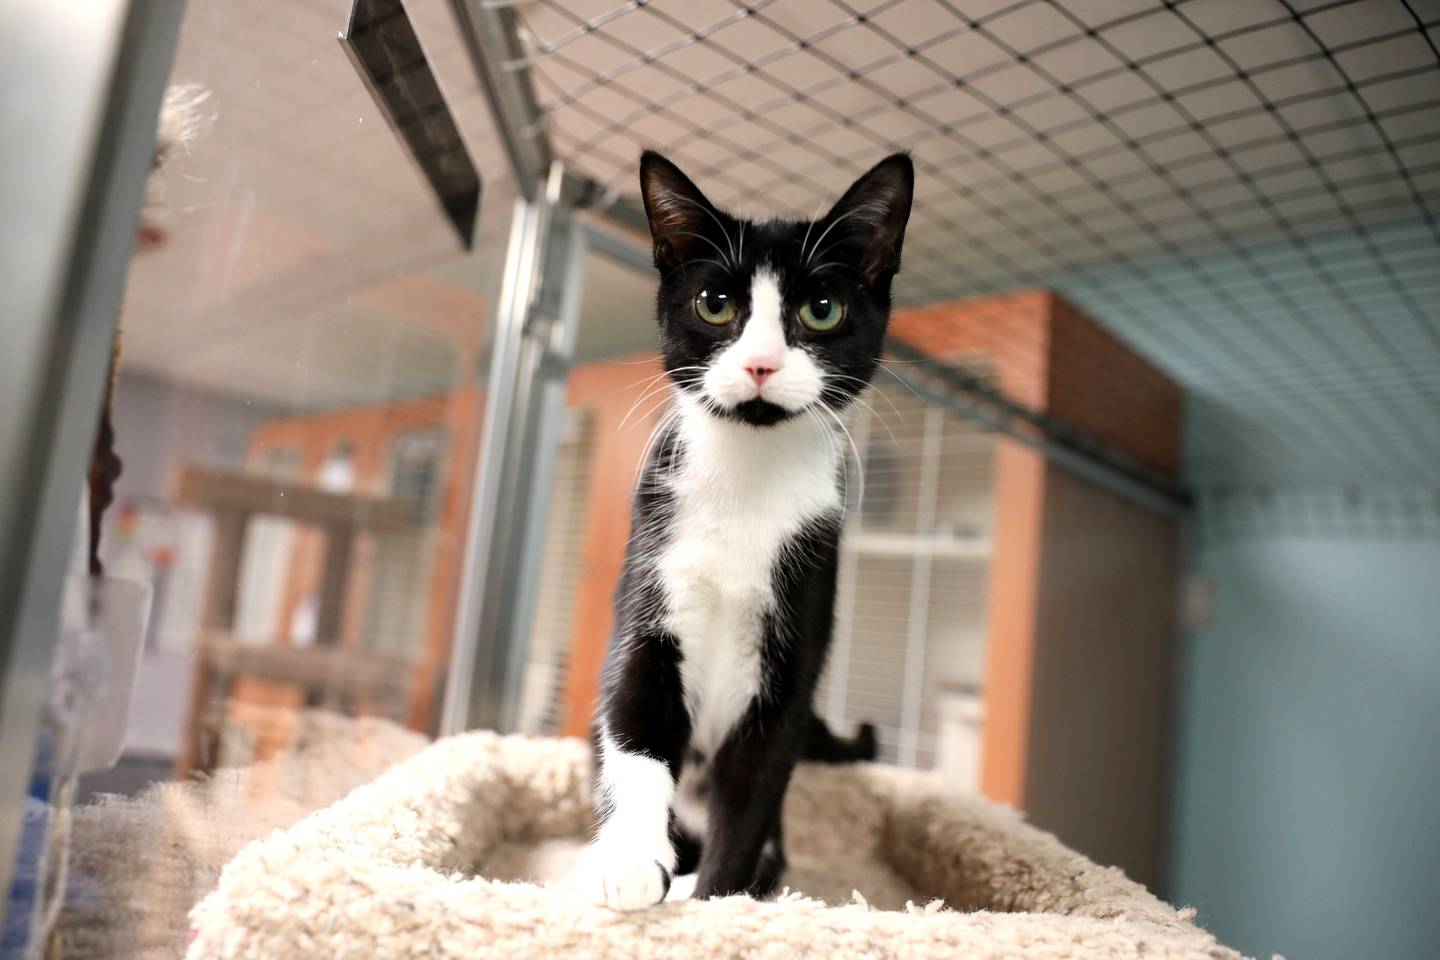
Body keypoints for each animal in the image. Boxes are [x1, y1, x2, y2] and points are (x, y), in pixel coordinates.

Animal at [573, 148, 910, 909]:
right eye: (715, 303)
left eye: (821, 309)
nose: (761, 363)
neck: (747, 482)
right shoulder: (648, 595)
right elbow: (634, 725)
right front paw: (630, 862)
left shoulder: (798, 633)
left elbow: (752, 792)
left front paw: (716, 907)